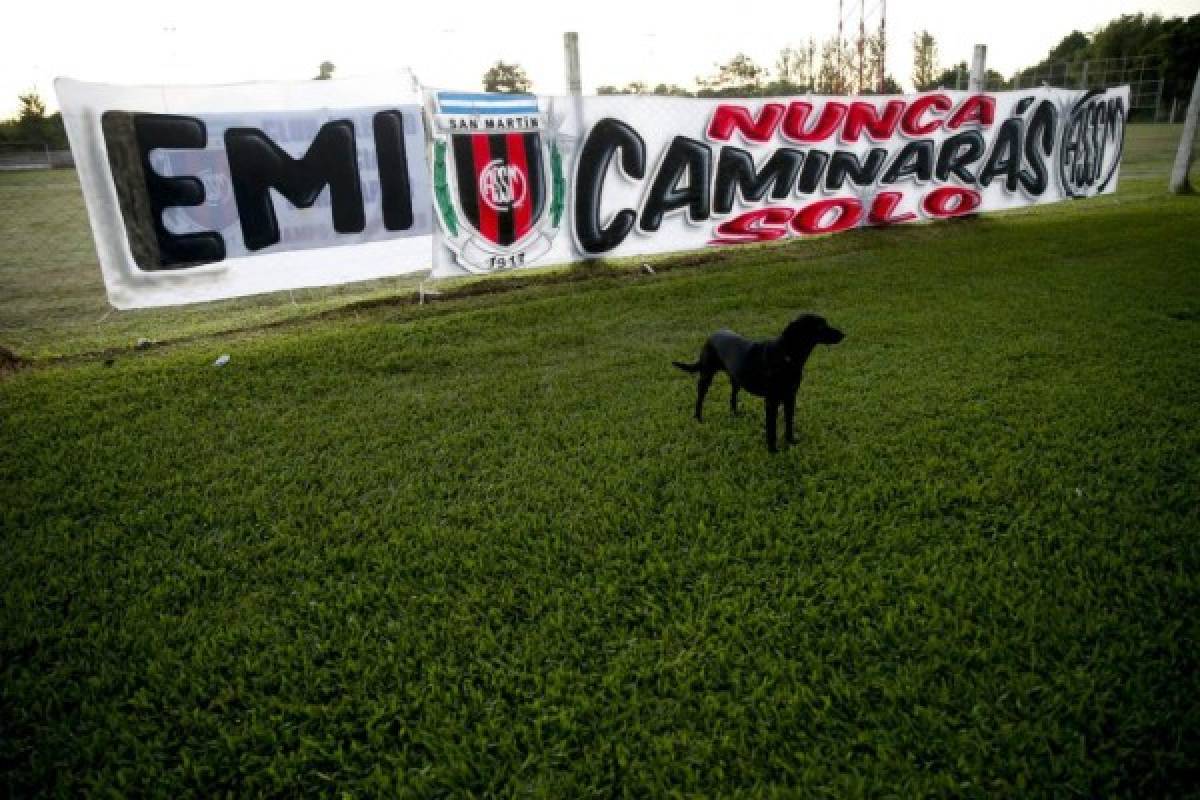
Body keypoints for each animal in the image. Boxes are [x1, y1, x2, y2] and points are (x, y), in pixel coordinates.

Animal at [676, 311, 844, 450]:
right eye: (820, 326)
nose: (843, 334)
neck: (787, 355)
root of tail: (711, 335)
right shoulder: (771, 401)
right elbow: (772, 429)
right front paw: (773, 451)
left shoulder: (790, 397)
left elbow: (789, 422)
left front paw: (791, 442)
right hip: (706, 376)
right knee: (700, 398)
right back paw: (698, 418)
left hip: (737, 379)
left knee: (732, 396)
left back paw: (735, 413)